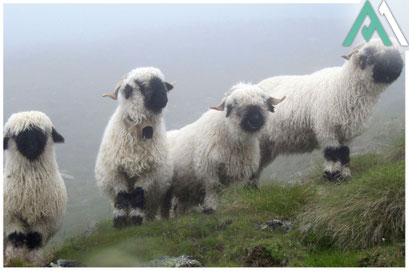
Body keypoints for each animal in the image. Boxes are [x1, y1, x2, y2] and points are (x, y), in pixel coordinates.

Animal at [3, 110, 67, 266]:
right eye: (17, 136)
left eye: (41, 134)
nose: (31, 149)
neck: (31, 191)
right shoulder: (11, 218)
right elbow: (17, 240)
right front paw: (15, 261)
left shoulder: (44, 221)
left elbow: (35, 241)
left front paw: (33, 262)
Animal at [95, 67, 175, 228]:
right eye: (142, 85)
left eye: (163, 84)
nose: (163, 98)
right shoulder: (116, 172)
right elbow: (121, 196)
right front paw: (120, 222)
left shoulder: (149, 172)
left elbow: (138, 195)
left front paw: (136, 220)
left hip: (158, 196)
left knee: (152, 209)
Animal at [164, 84, 286, 216]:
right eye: (234, 104)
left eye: (264, 101)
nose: (254, 119)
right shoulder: (209, 168)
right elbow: (213, 188)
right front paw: (210, 208)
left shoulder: (238, 172)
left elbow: (232, 190)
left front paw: (231, 202)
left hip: (186, 192)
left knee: (180, 206)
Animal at [255, 40, 402, 184]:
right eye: (371, 56)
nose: (398, 68)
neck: (343, 86)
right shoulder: (326, 129)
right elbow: (333, 153)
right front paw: (331, 175)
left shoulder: (346, 134)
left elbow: (344, 153)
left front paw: (345, 176)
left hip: (267, 146)